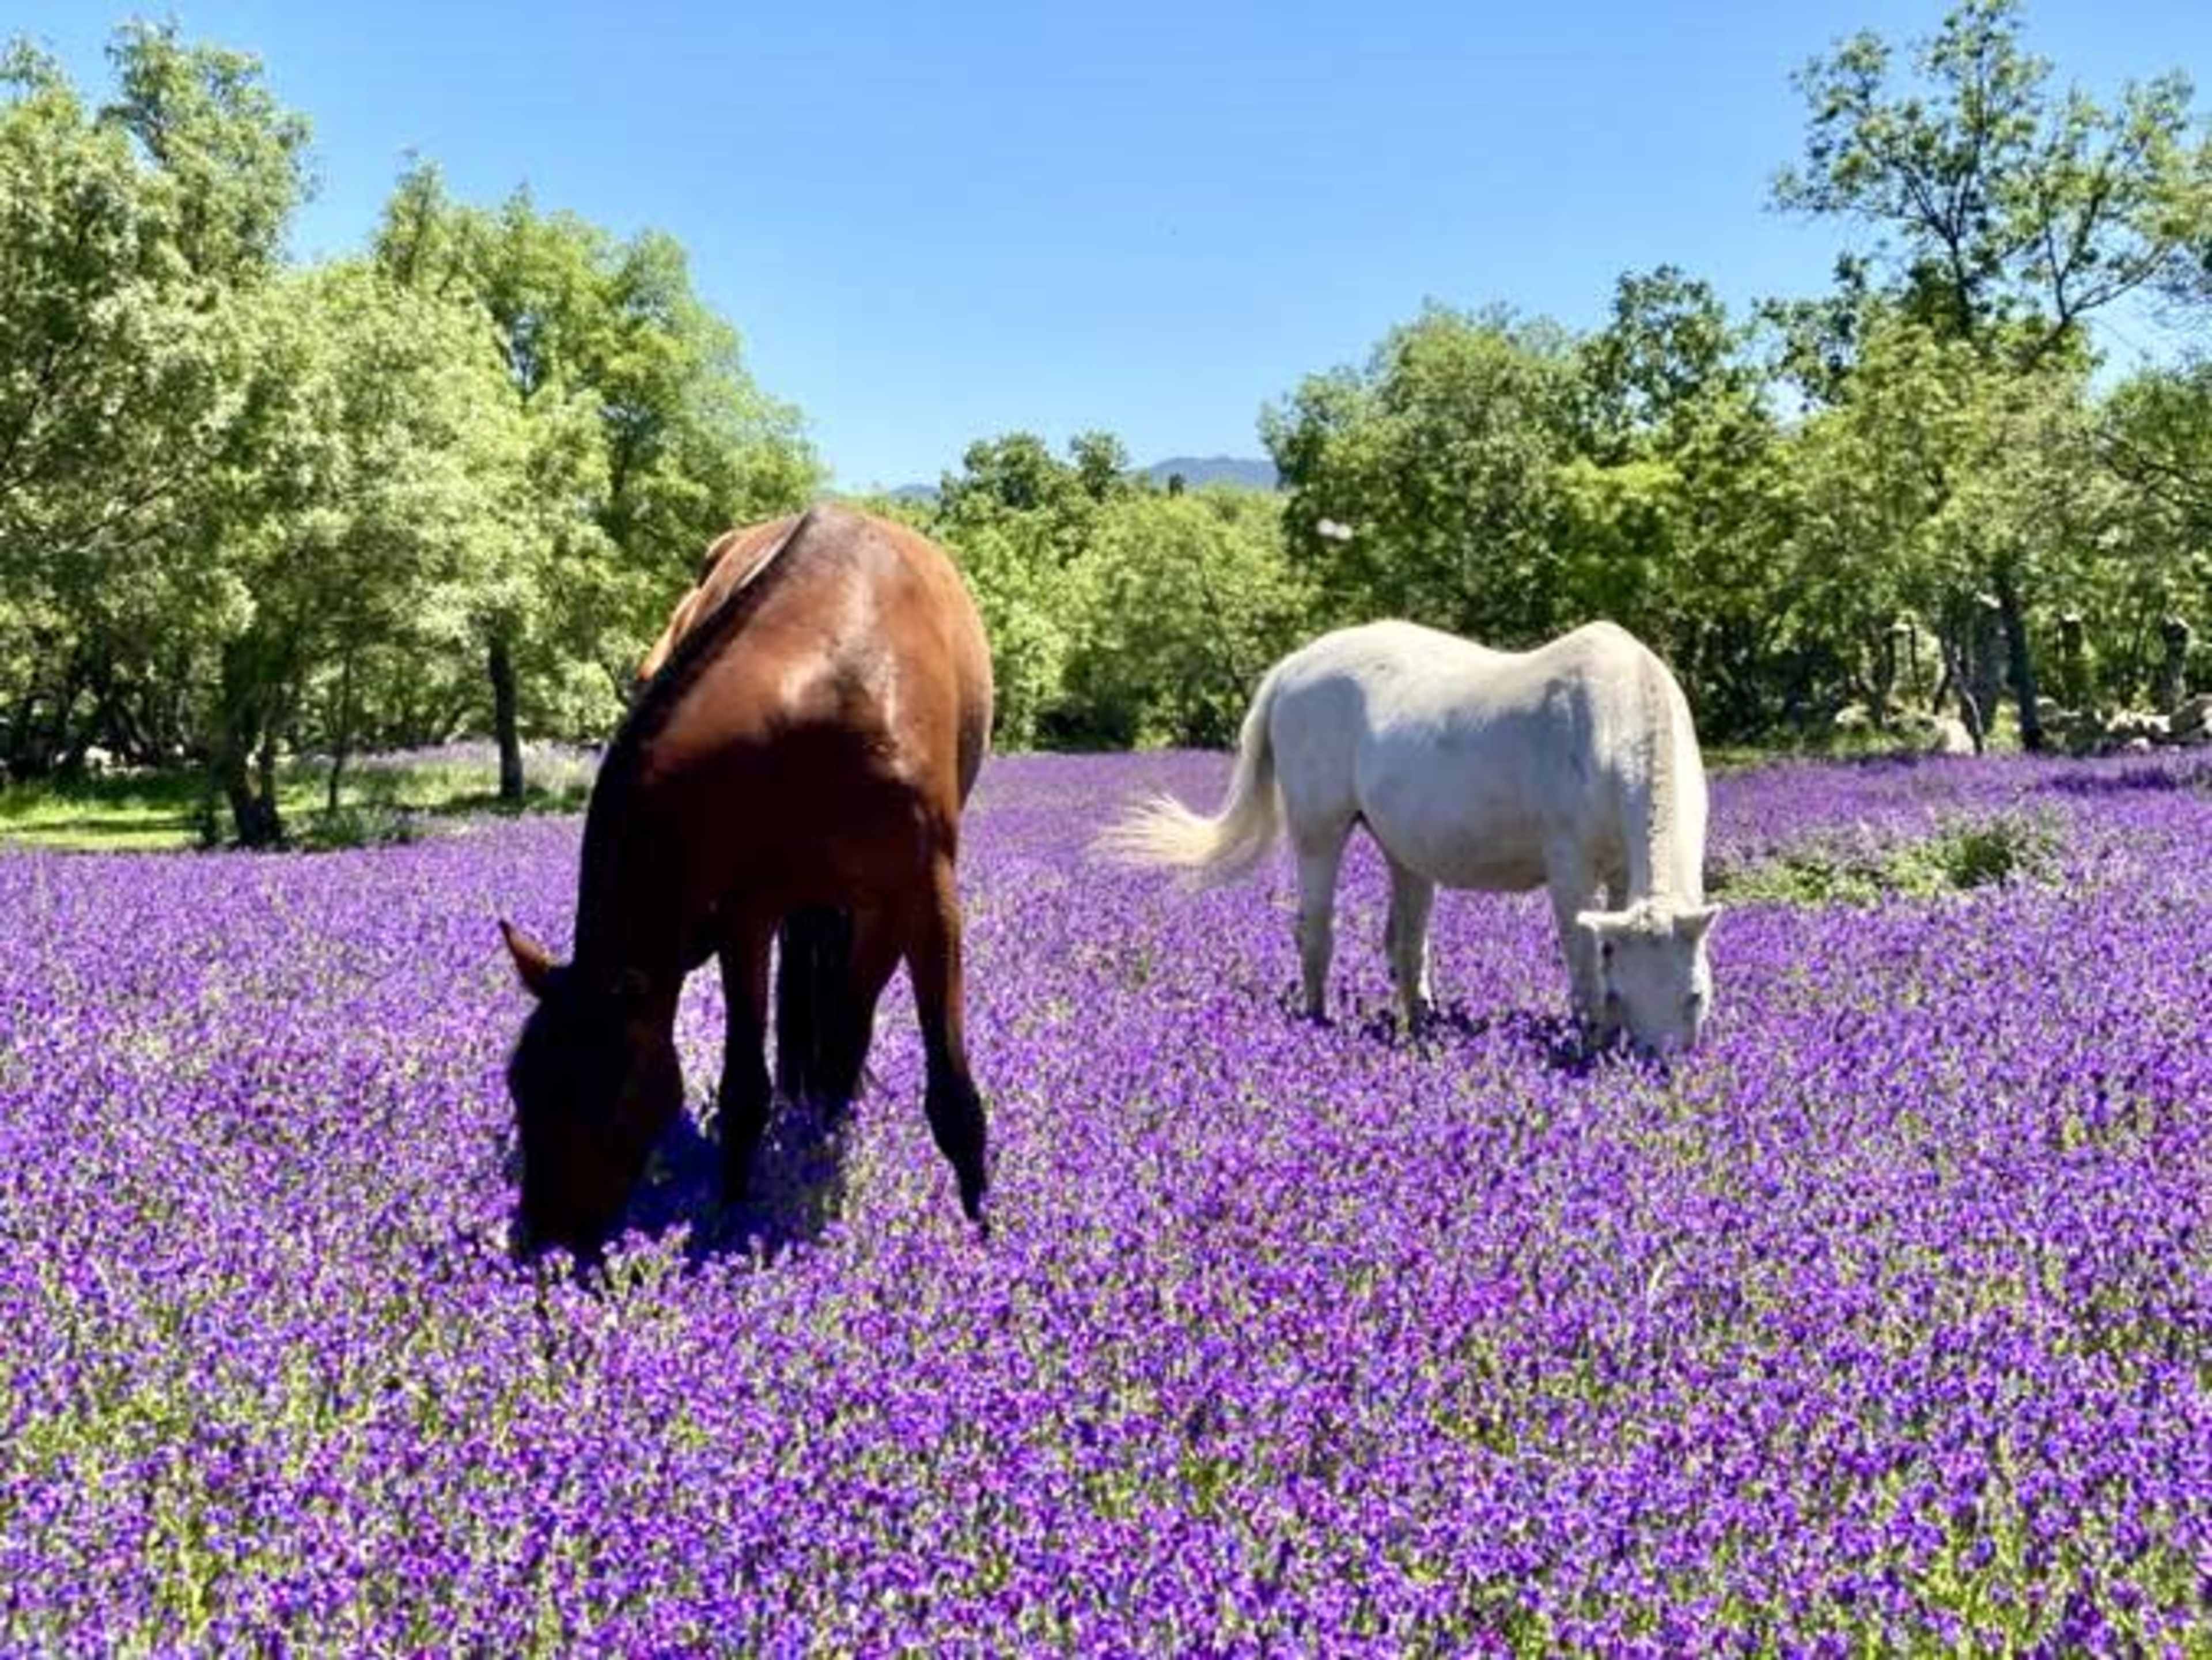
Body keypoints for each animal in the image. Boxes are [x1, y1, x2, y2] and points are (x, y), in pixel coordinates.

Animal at [499, 504, 996, 1256]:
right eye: (520, 1088)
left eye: (604, 1094)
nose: (543, 1243)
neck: (825, 689)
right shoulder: (747, 912)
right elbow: (744, 1090)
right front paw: (729, 1215)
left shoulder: (924, 901)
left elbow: (951, 1095)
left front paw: (984, 1234)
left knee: (849, 1018)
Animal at [1101, 619, 1719, 1052]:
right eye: (1624, 994)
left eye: (1694, 995)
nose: (1656, 1064)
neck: (1617, 717)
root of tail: (1293, 668)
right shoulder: (1569, 872)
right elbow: (1583, 958)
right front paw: (1591, 1036)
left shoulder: (1620, 873)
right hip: (1318, 831)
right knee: (1315, 931)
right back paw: (1319, 1020)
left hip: (1404, 851)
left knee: (1405, 942)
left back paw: (1422, 1024)